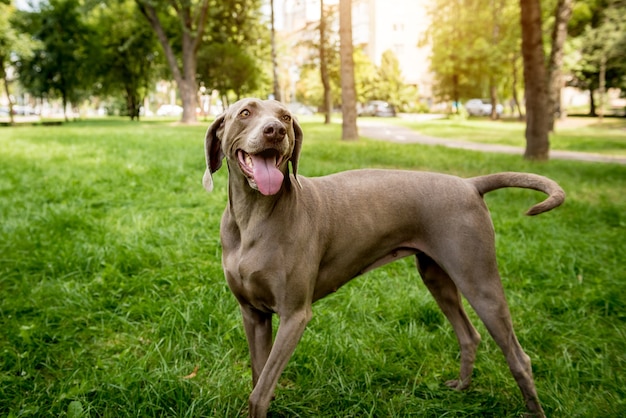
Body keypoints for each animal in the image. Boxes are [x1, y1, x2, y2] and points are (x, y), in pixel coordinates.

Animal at [202, 99, 564, 418]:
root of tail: (470, 184)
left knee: (518, 356)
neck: (254, 217)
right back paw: (462, 387)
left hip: (478, 279)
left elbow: (259, 392)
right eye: (245, 112)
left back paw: (533, 410)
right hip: (436, 276)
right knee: (468, 334)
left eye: (286, 117)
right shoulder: (253, 314)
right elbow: (258, 375)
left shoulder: (294, 316)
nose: (275, 130)